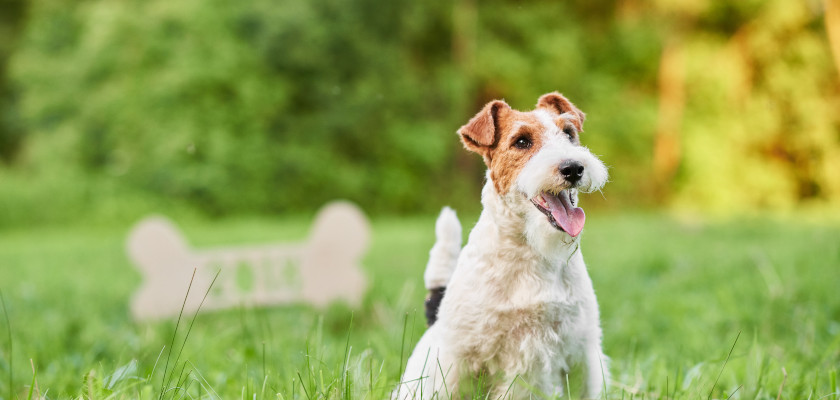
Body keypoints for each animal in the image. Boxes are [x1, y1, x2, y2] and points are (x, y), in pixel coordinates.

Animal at [396, 93, 612, 400]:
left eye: (569, 133)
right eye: (521, 141)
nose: (573, 168)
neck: (532, 251)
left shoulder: (582, 351)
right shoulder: (455, 357)